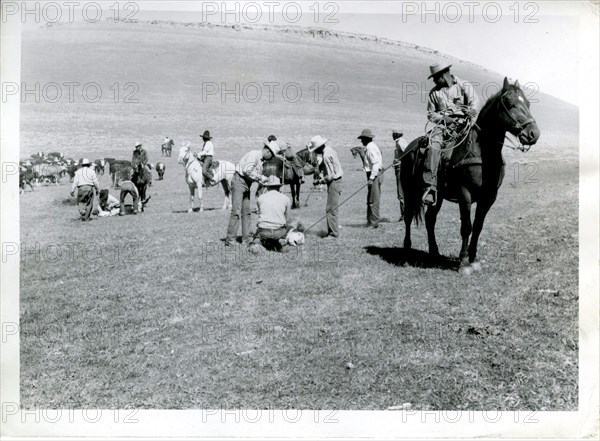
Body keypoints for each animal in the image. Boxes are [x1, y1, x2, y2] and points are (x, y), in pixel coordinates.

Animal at [400, 77, 540, 274]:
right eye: (511, 104)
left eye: (527, 103)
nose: (533, 134)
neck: (482, 153)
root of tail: (409, 148)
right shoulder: (464, 193)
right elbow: (466, 226)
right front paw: (464, 262)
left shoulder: (489, 197)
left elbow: (478, 226)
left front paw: (474, 259)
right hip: (409, 190)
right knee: (407, 217)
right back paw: (406, 254)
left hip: (438, 195)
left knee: (430, 219)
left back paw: (434, 253)